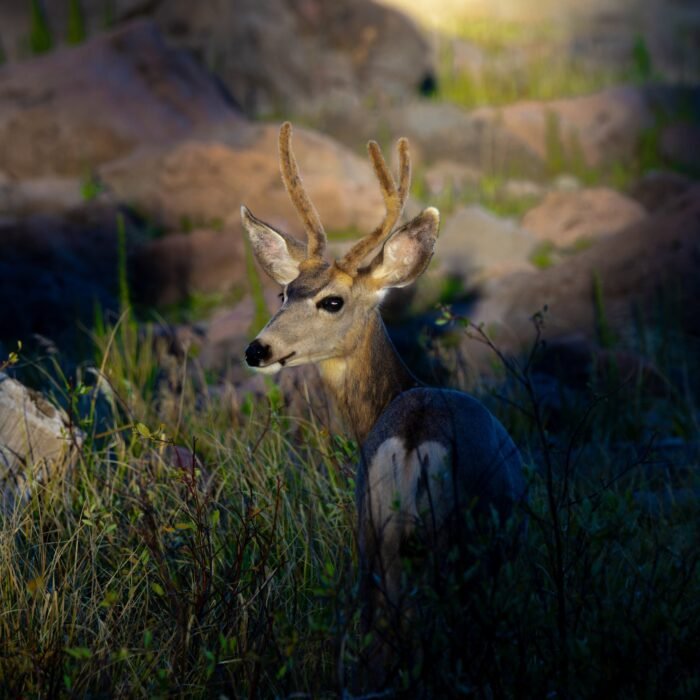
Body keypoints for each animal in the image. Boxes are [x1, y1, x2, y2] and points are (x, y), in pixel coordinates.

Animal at [241, 122, 526, 685]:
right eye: (284, 293)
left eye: (330, 300)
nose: (256, 349)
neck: (398, 392)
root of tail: (414, 438)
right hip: (446, 540)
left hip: (371, 534)